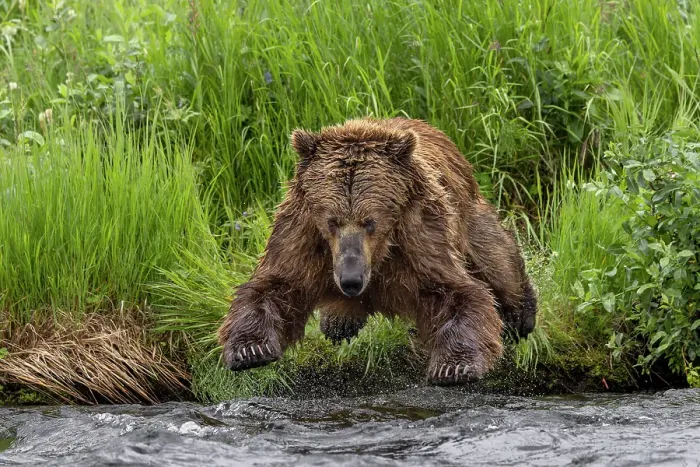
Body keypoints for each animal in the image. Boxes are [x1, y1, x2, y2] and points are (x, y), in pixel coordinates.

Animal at [218, 117, 537, 385]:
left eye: (369, 221)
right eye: (332, 221)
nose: (351, 280)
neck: (379, 254)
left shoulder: (420, 234)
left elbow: (458, 291)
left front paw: (454, 366)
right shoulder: (303, 234)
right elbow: (276, 286)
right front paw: (249, 350)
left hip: (466, 215)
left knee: (496, 261)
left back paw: (521, 315)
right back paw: (339, 322)